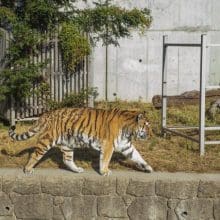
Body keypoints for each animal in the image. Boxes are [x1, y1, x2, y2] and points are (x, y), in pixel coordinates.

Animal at [8, 107, 153, 176]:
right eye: (146, 125)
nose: (151, 134)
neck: (129, 130)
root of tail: (45, 114)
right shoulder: (108, 145)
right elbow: (105, 159)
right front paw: (105, 172)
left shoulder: (126, 146)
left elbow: (138, 156)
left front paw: (148, 167)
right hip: (47, 140)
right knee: (35, 154)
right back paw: (28, 169)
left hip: (67, 144)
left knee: (67, 160)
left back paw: (77, 169)